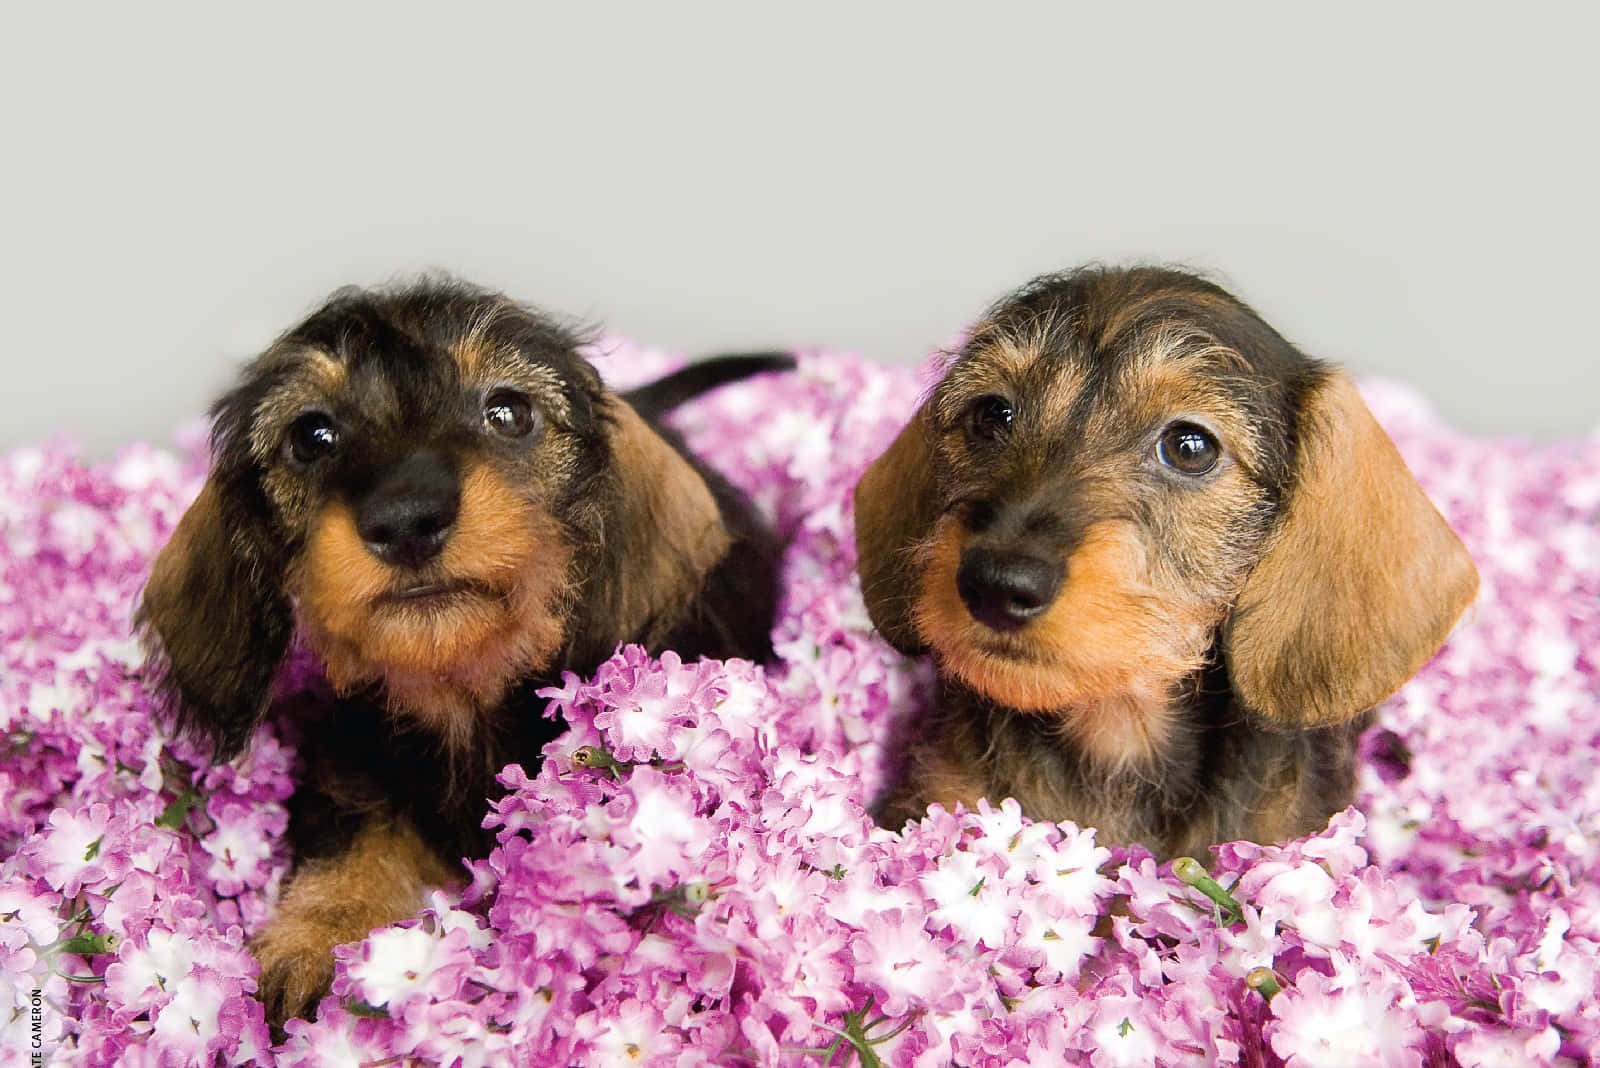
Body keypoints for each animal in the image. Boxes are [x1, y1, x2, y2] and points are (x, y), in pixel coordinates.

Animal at [140, 278, 790, 1023]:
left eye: (509, 412)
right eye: (311, 436)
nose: (406, 518)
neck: (462, 694)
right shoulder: (352, 759)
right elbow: (355, 832)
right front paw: (320, 930)